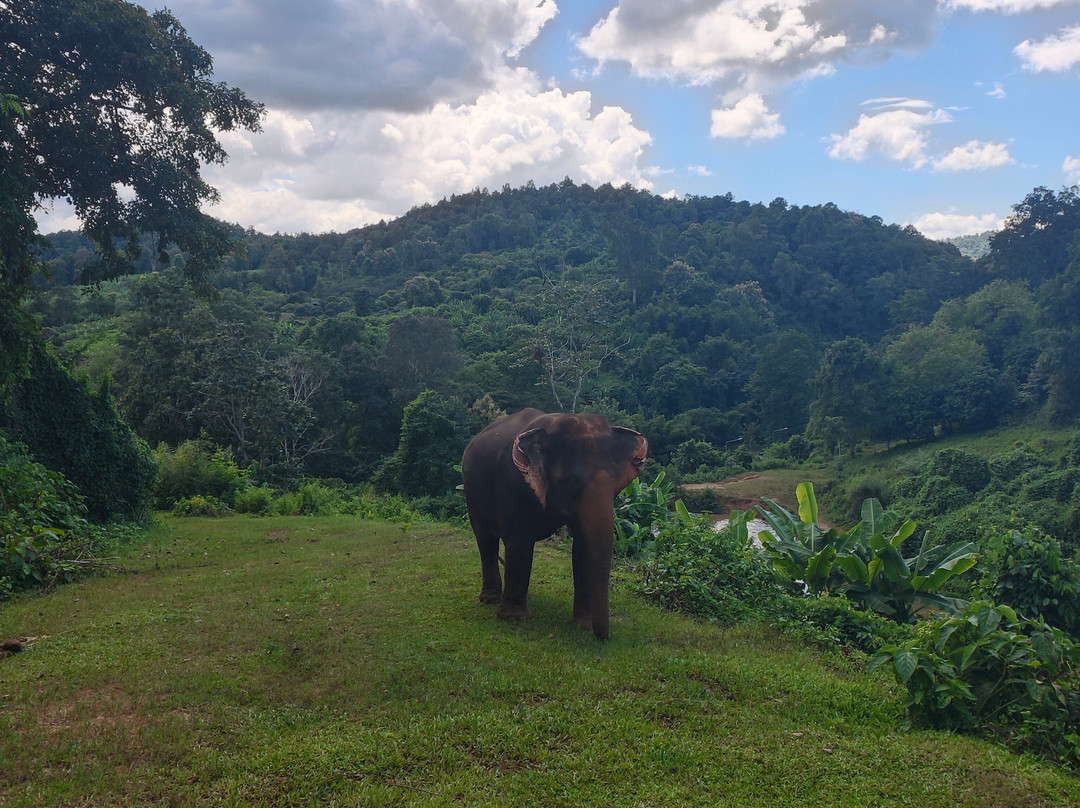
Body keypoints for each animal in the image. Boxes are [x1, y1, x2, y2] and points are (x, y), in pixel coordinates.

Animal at [461, 408, 648, 639]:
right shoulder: (511, 482)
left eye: (616, 487)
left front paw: (583, 625)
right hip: (470, 490)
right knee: (485, 540)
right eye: (572, 484)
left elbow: (583, 547)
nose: (602, 637)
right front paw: (514, 618)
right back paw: (490, 600)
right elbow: (519, 542)